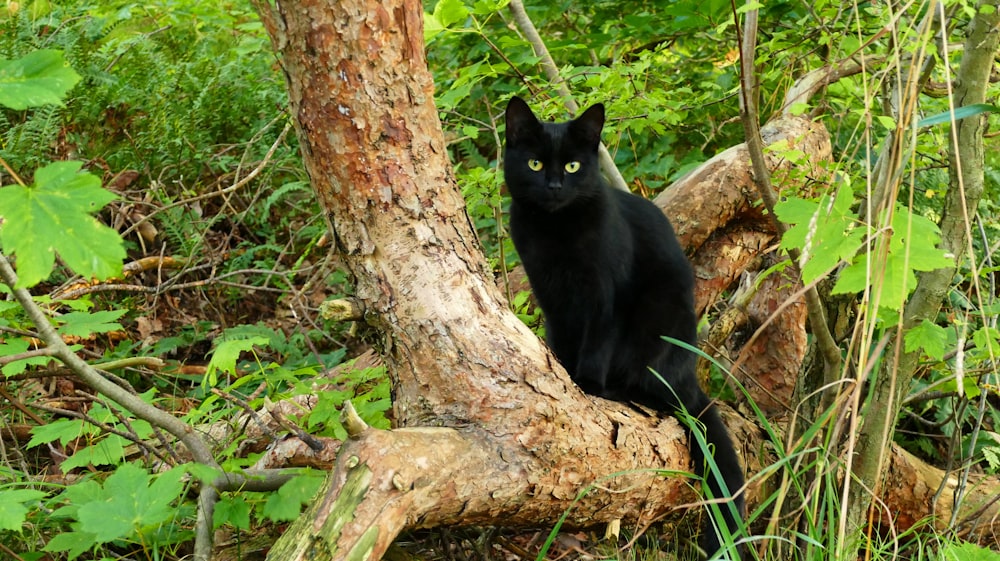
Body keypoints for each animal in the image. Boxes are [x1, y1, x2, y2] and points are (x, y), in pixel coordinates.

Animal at [508, 96, 744, 556]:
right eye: (533, 163)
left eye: (573, 167)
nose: (554, 186)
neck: (555, 233)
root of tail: (688, 376)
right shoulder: (551, 296)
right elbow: (561, 339)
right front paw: (563, 374)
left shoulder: (605, 294)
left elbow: (598, 342)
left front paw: (586, 385)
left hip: (657, 316)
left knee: (657, 391)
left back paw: (621, 392)